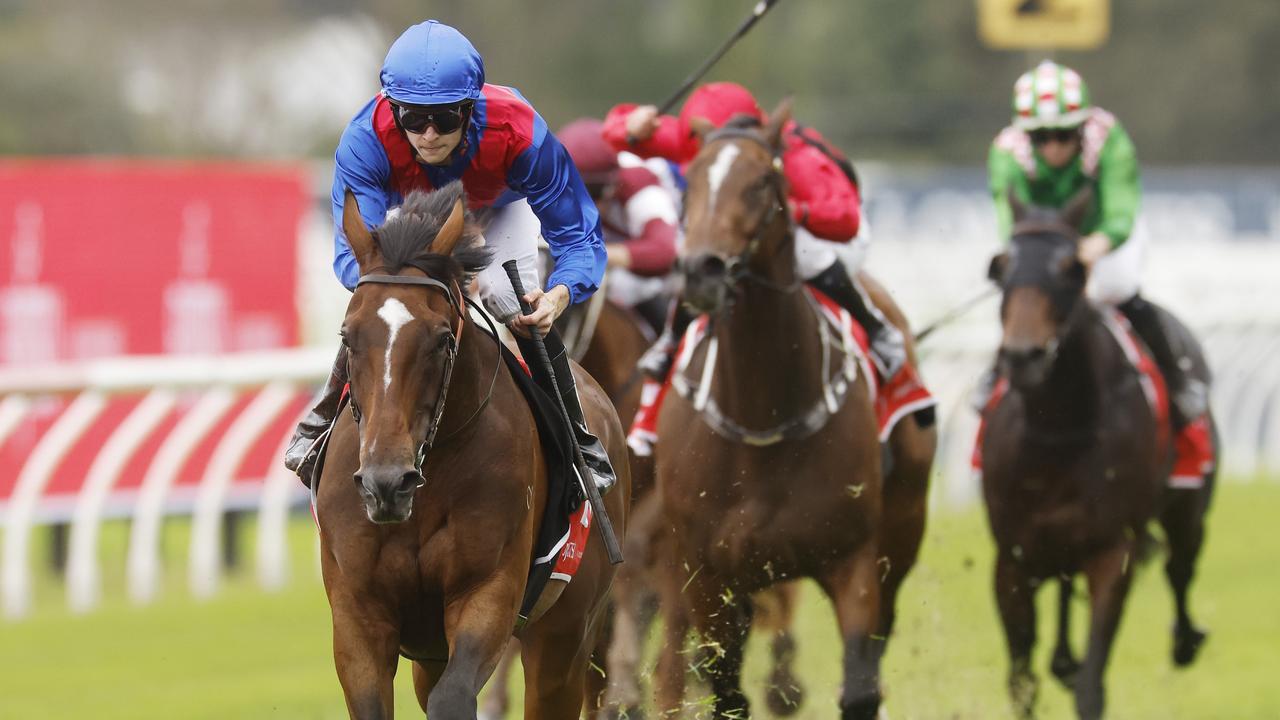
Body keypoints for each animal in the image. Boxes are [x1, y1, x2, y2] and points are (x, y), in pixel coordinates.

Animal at [312, 184, 627, 717]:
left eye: (442, 339)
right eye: (347, 337)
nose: (385, 483)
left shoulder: (489, 590)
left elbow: (454, 698)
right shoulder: (358, 613)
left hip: (564, 635)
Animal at [650, 102, 921, 717]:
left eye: (761, 183)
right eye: (689, 183)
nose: (701, 269)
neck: (761, 415)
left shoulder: (853, 560)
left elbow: (860, 686)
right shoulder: (708, 573)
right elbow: (726, 690)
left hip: (902, 531)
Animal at [983, 190, 1213, 717]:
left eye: (1073, 268)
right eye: (1001, 268)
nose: (1023, 356)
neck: (1056, 432)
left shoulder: (1113, 551)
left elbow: (1093, 687)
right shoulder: (1012, 560)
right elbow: (1021, 683)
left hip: (1188, 506)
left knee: (1180, 567)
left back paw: (1186, 639)